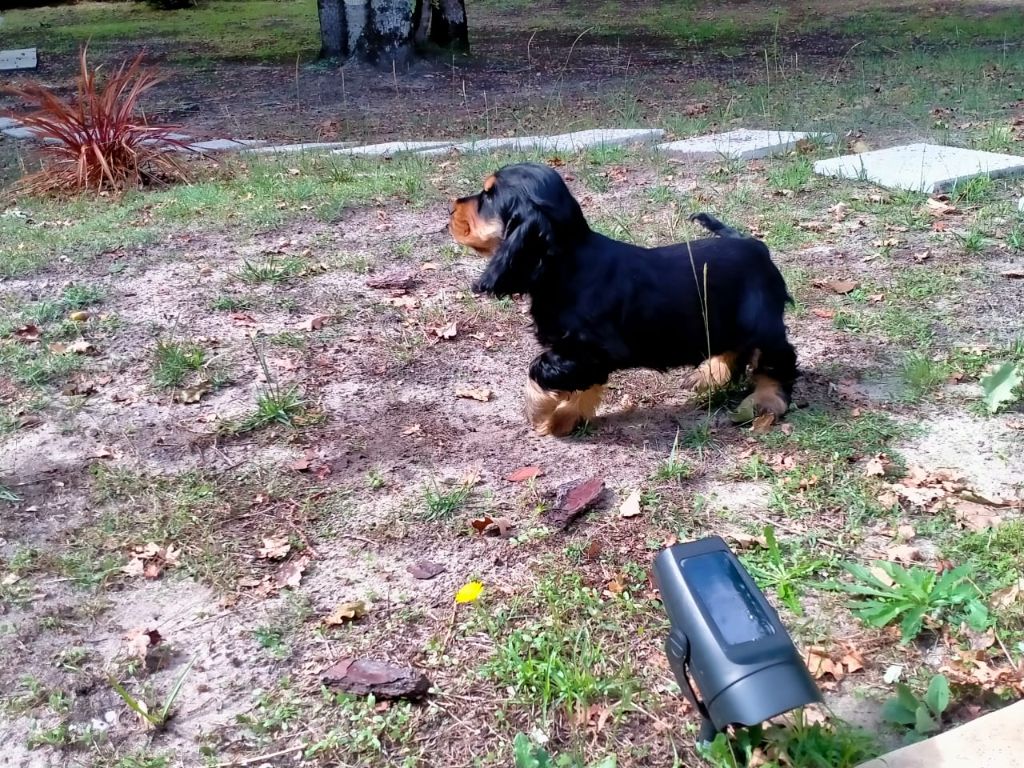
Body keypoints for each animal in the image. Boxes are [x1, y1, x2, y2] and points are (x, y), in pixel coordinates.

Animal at [449, 162, 798, 437]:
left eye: (488, 196)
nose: (451, 207)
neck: (567, 263)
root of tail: (755, 245)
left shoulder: (590, 348)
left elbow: (541, 370)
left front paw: (540, 413)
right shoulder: (583, 354)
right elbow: (582, 383)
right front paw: (567, 417)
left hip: (761, 322)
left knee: (777, 359)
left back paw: (764, 402)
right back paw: (709, 374)